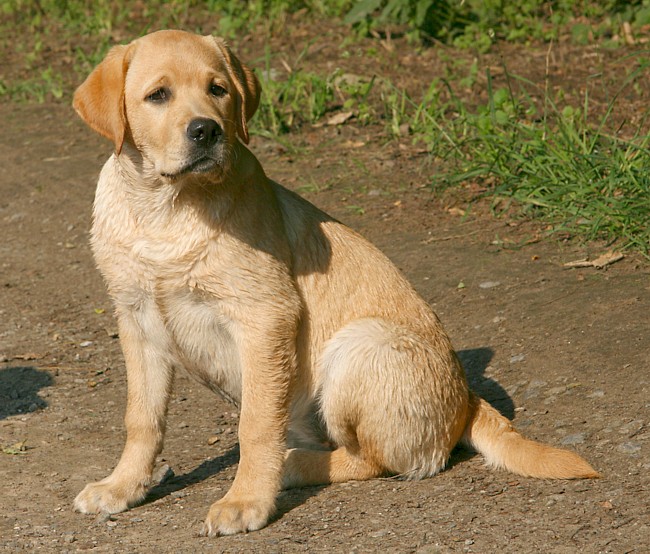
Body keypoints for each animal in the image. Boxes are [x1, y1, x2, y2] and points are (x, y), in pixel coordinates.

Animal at [71, 30, 596, 536]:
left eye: (218, 90)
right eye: (157, 95)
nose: (207, 130)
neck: (166, 210)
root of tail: (467, 398)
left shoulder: (264, 316)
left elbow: (255, 426)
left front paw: (245, 501)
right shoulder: (137, 320)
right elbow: (142, 419)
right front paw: (122, 486)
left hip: (361, 346)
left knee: (379, 461)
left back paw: (294, 466)